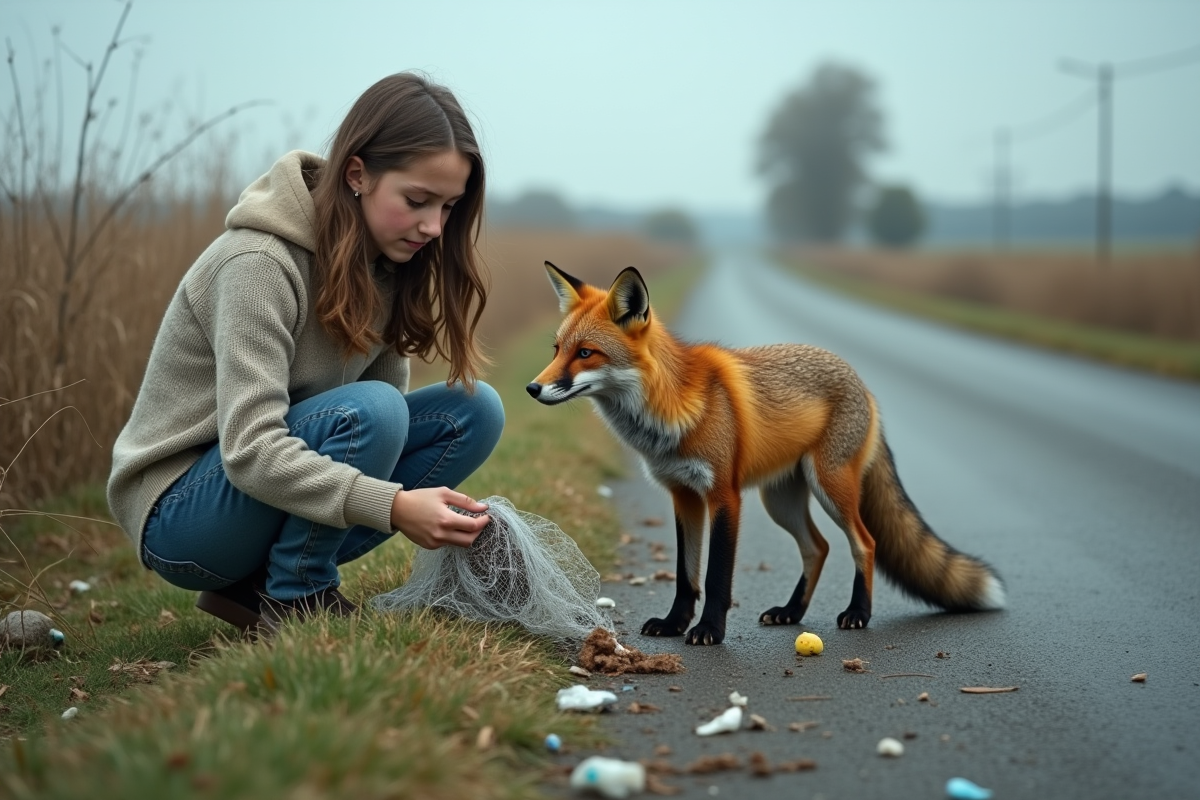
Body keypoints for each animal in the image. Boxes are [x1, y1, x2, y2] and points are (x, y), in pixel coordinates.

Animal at [526, 262, 1005, 646]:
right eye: (557, 349)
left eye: (586, 353)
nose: (532, 388)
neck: (670, 407)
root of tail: (860, 381)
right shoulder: (683, 495)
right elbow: (686, 575)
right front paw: (675, 623)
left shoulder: (724, 495)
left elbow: (716, 575)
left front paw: (709, 630)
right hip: (782, 501)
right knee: (818, 547)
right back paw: (792, 612)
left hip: (830, 488)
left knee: (864, 543)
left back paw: (858, 613)